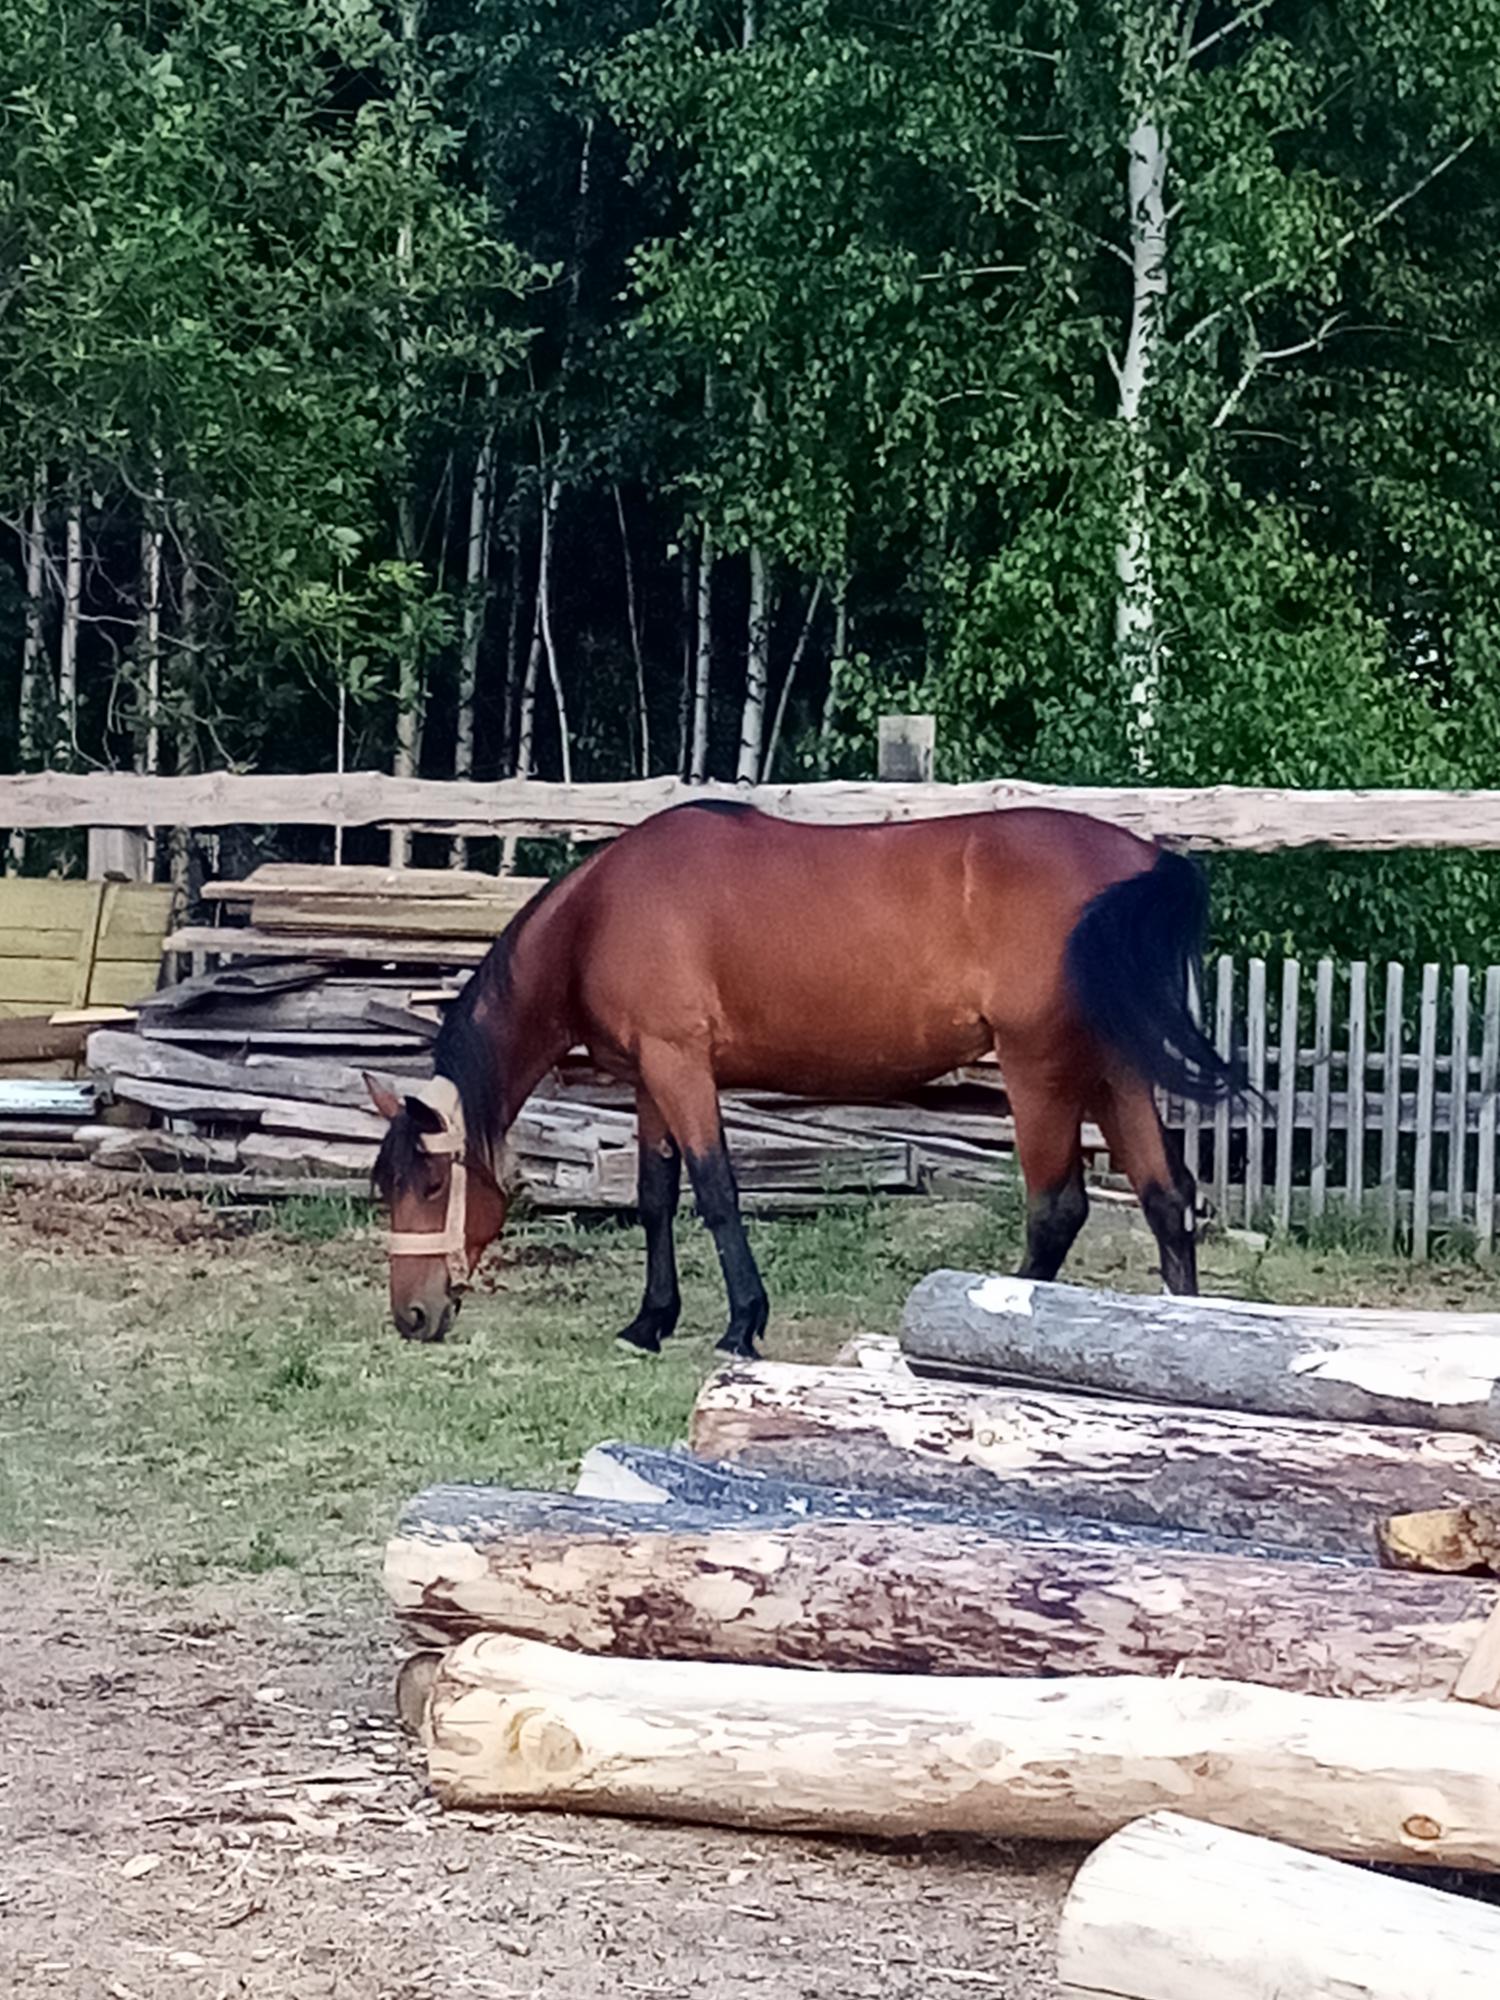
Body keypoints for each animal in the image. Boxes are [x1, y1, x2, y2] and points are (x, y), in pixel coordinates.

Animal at [370, 804, 1240, 1352]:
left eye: (430, 1185)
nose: (411, 1315)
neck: (601, 912)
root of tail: (1147, 861)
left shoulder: (682, 1065)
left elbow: (717, 1191)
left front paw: (740, 1325)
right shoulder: (651, 1079)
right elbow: (655, 1198)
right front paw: (651, 1322)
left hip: (1041, 1069)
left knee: (1057, 1210)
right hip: (1117, 1067)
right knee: (1166, 1197)